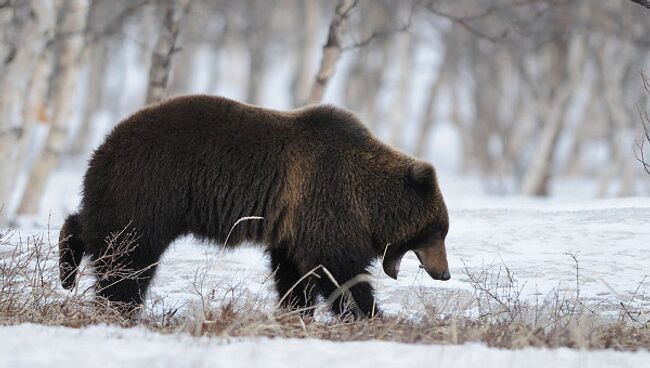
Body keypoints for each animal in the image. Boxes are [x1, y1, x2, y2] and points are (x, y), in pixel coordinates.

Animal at [58, 95, 448, 316]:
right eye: (438, 232)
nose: (443, 272)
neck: (368, 201)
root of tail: (106, 141)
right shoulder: (326, 199)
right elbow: (338, 269)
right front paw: (368, 313)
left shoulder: (294, 224)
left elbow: (294, 272)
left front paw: (296, 310)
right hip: (153, 188)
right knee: (127, 253)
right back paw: (117, 301)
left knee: (97, 229)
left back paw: (68, 270)